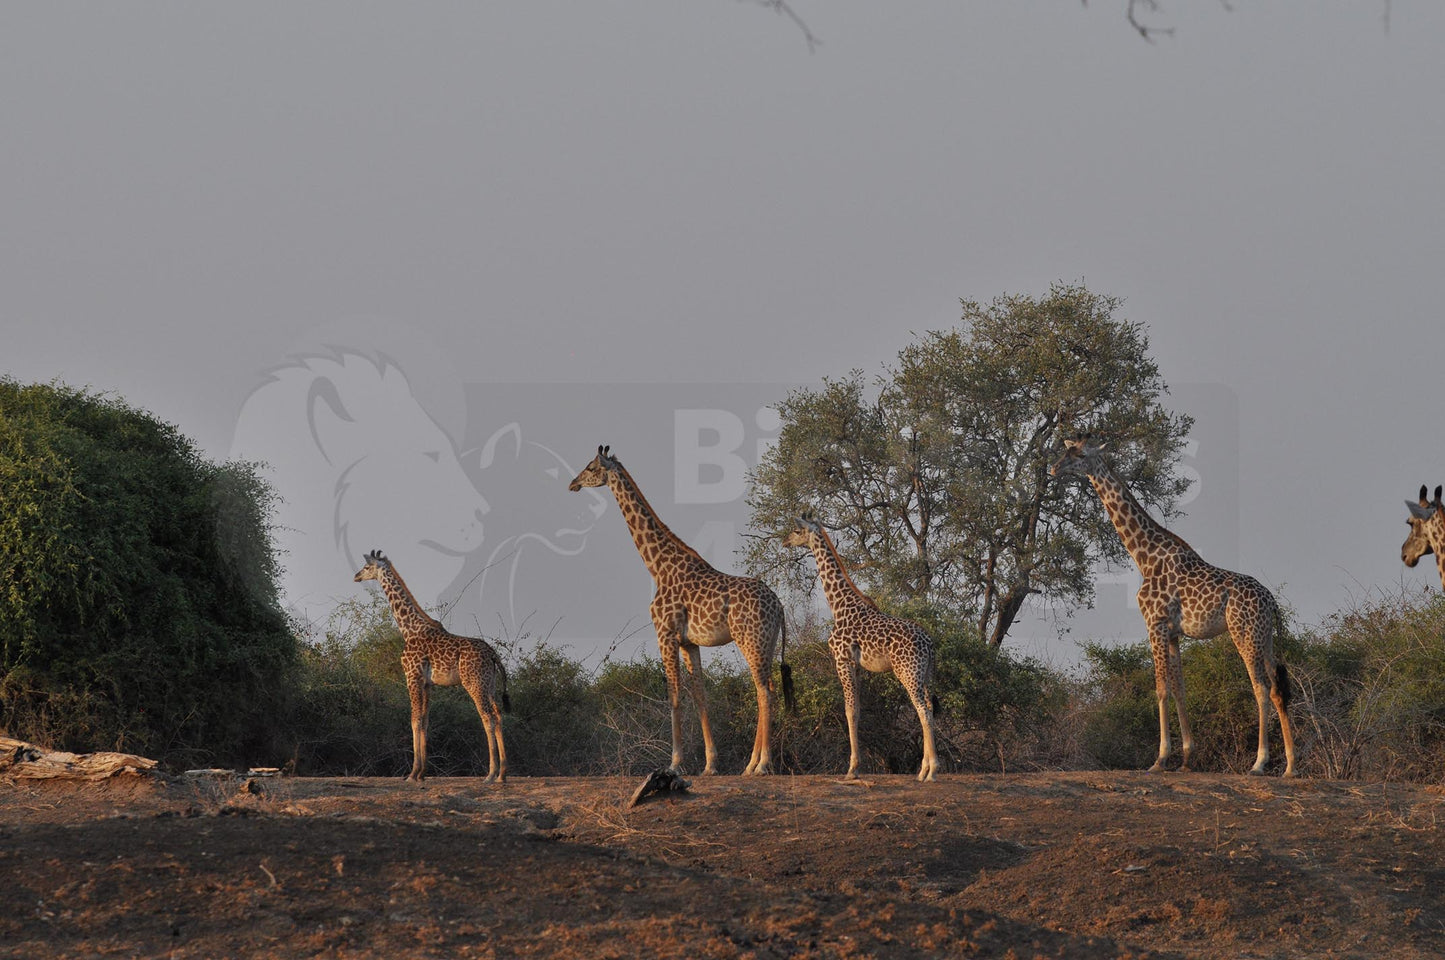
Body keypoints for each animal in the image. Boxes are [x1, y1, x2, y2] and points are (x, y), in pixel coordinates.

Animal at [352, 552, 511, 786]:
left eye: (366, 566)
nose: (356, 576)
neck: (409, 629)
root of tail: (493, 654)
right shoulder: (427, 683)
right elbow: (425, 721)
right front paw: (421, 773)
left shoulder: (412, 676)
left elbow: (414, 720)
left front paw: (412, 774)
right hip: (488, 684)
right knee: (498, 715)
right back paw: (502, 774)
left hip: (473, 682)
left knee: (487, 717)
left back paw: (490, 774)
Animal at [566, 445, 791, 774]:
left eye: (592, 467)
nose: (573, 484)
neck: (657, 567)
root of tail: (779, 606)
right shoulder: (689, 642)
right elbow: (699, 696)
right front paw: (710, 763)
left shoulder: (665, 634)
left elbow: (673, 695)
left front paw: (674, 762)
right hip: (767, 641)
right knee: (768, 686)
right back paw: (751, 764)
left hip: (749, 638)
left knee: (764, 690)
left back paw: (761, 764)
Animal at [786, 514, 942, 786]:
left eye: (796, 531)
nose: (784, 541)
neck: (839, 606)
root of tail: (929, 644)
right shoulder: (858, 667)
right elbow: (857, 710)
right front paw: (855, 766)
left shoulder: (842, 660)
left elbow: (848, 711)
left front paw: (852, 769)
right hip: (926, 674)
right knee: (930, 709)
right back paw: (922, 770)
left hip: (908, 672)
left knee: (922, 710)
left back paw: (931, 770)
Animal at [1051, 439, 1300, 774]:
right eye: (1067, 448)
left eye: (1079, 453)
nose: (1054, 468)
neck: (1144, 557)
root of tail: (1271, 601)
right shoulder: (1173, 633)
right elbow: (1180, 688)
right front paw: (1186, 758)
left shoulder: (1154, 624)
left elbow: (1161, 688)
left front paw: (1160, 759)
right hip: (1266, 637)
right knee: (1277, 688)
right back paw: (1290, 766)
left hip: (1244, 632)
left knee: (1259, 687)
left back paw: (1259, 763)